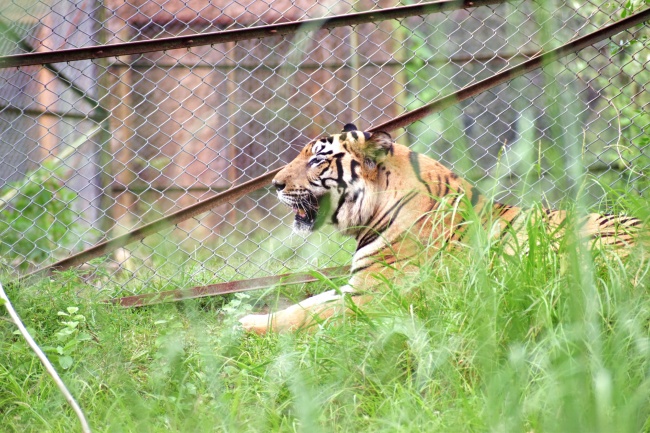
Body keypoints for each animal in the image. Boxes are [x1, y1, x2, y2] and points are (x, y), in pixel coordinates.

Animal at [238, 123, 644, 332]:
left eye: (317, 160)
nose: (274, 184)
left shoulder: (377, 295)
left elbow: (306, 313)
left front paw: (245, 328)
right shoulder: (355, 285)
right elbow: (305, 303)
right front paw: (248, 319)